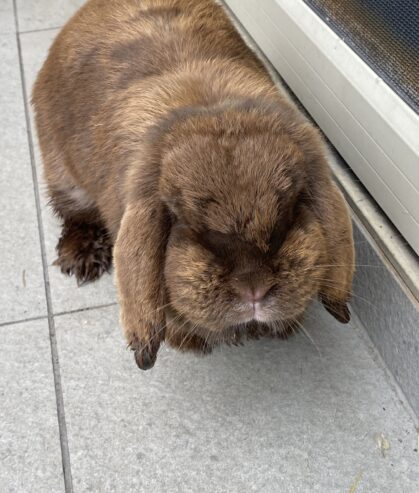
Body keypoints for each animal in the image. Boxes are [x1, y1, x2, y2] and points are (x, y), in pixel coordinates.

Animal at [32, 0, 354, 368]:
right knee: (74, 214)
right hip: (64, 176)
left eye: (291, 211)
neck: (211, 108)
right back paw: (82, 259)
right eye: (181, 222)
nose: (253, 287)